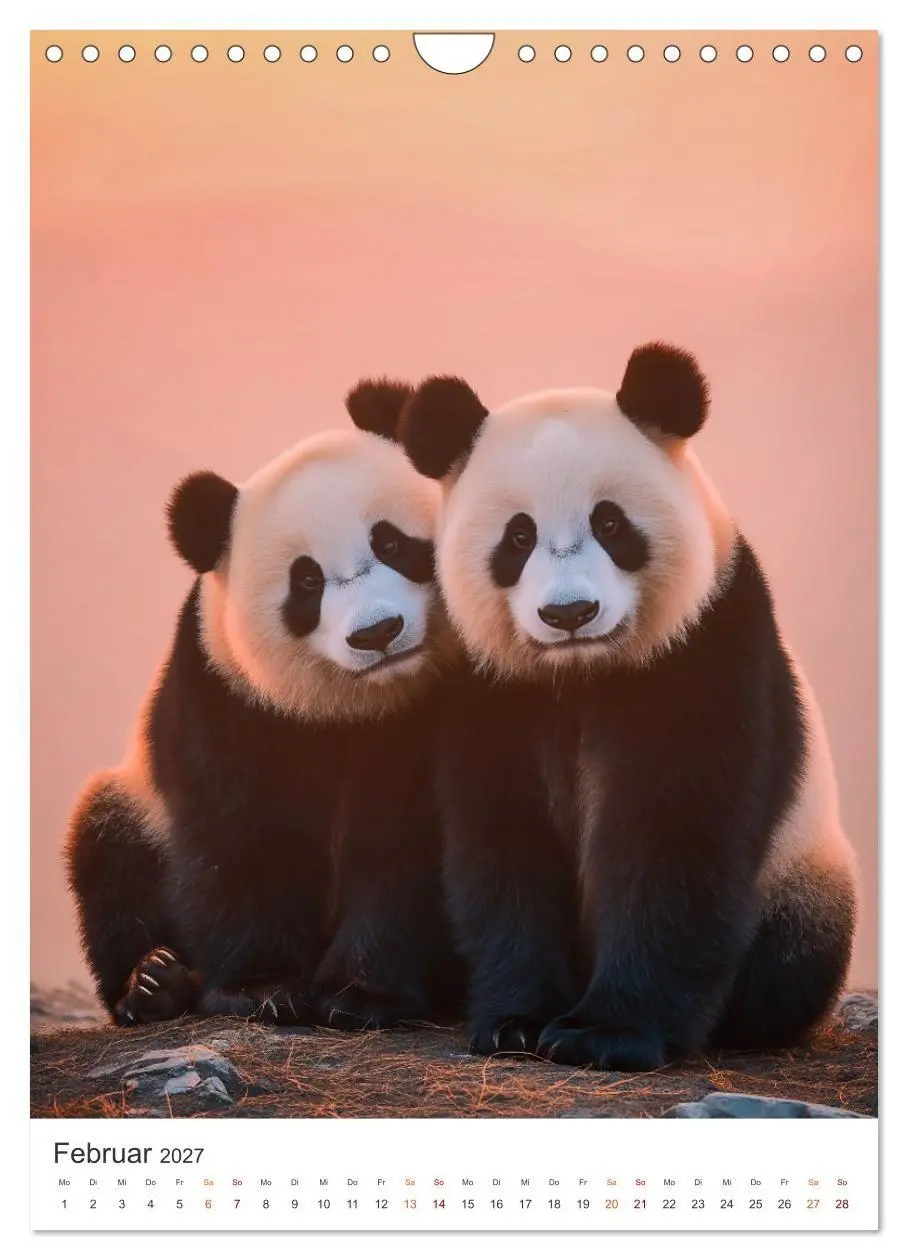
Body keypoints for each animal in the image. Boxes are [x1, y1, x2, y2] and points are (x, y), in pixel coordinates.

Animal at [64, 379, 457, 1029]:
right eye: (307, 582)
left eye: (392, 543)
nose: (377, 632)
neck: (351, 707)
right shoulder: (225, 693)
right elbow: (237, 836)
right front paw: (262, 990)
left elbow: (408, 846)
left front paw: (361, 994)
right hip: (134, 801)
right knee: (107, 855)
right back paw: (152, 982)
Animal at [397, 342, 859, 1070]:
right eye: (518, 538)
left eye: (610, 523)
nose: (569, 613)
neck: (584, 674)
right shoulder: (488, 686)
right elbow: (503, 838)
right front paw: (518, 1022)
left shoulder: (705, 645)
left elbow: (673, 836)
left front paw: (604, 1034)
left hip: (803, 872)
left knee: (790, 965)